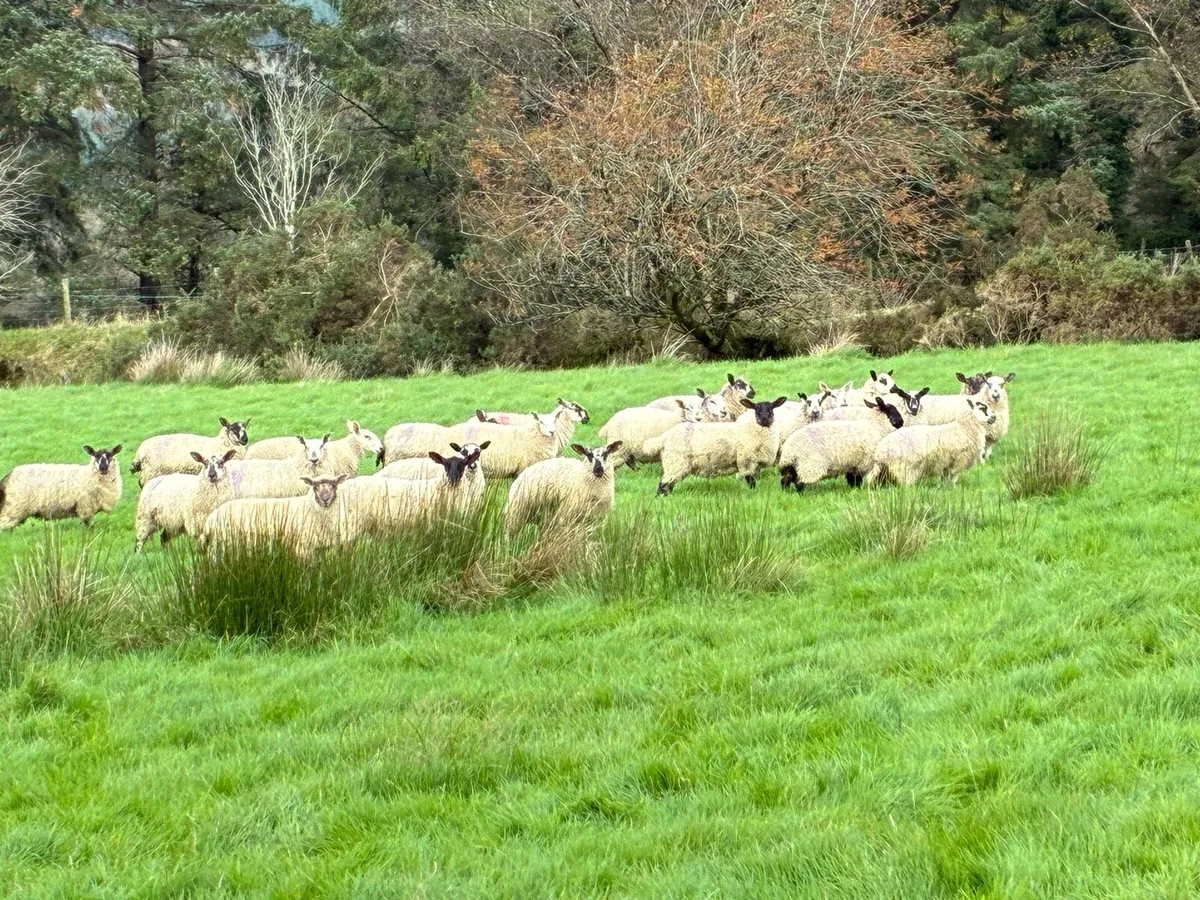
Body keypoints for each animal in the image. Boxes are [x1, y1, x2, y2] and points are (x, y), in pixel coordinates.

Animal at [201, 476, 349, 560]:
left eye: (334, 485)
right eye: (315, 487)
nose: (325, 499)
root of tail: (209, 521)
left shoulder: (319, 550)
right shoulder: (303, 549)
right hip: (221, 547)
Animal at [647, 397, 788, 494]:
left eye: (771, 409)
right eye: (756, 409)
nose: (764, 419)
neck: (753, 430)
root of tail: (665, 437)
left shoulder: (755, 464)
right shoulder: (746, 462)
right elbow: (751, 482)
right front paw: (752, 493)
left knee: (668, 486)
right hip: (675, 463)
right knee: (662, 486)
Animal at [865, 398, 995, 487]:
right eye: (983, 408)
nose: (994, 418)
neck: (964, 427)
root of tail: (880, 453)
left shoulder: (947, 463)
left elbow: (945, 478)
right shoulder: (959, 460)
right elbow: (953, 477)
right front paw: (952, 488)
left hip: (883, 471)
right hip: (904, 469)